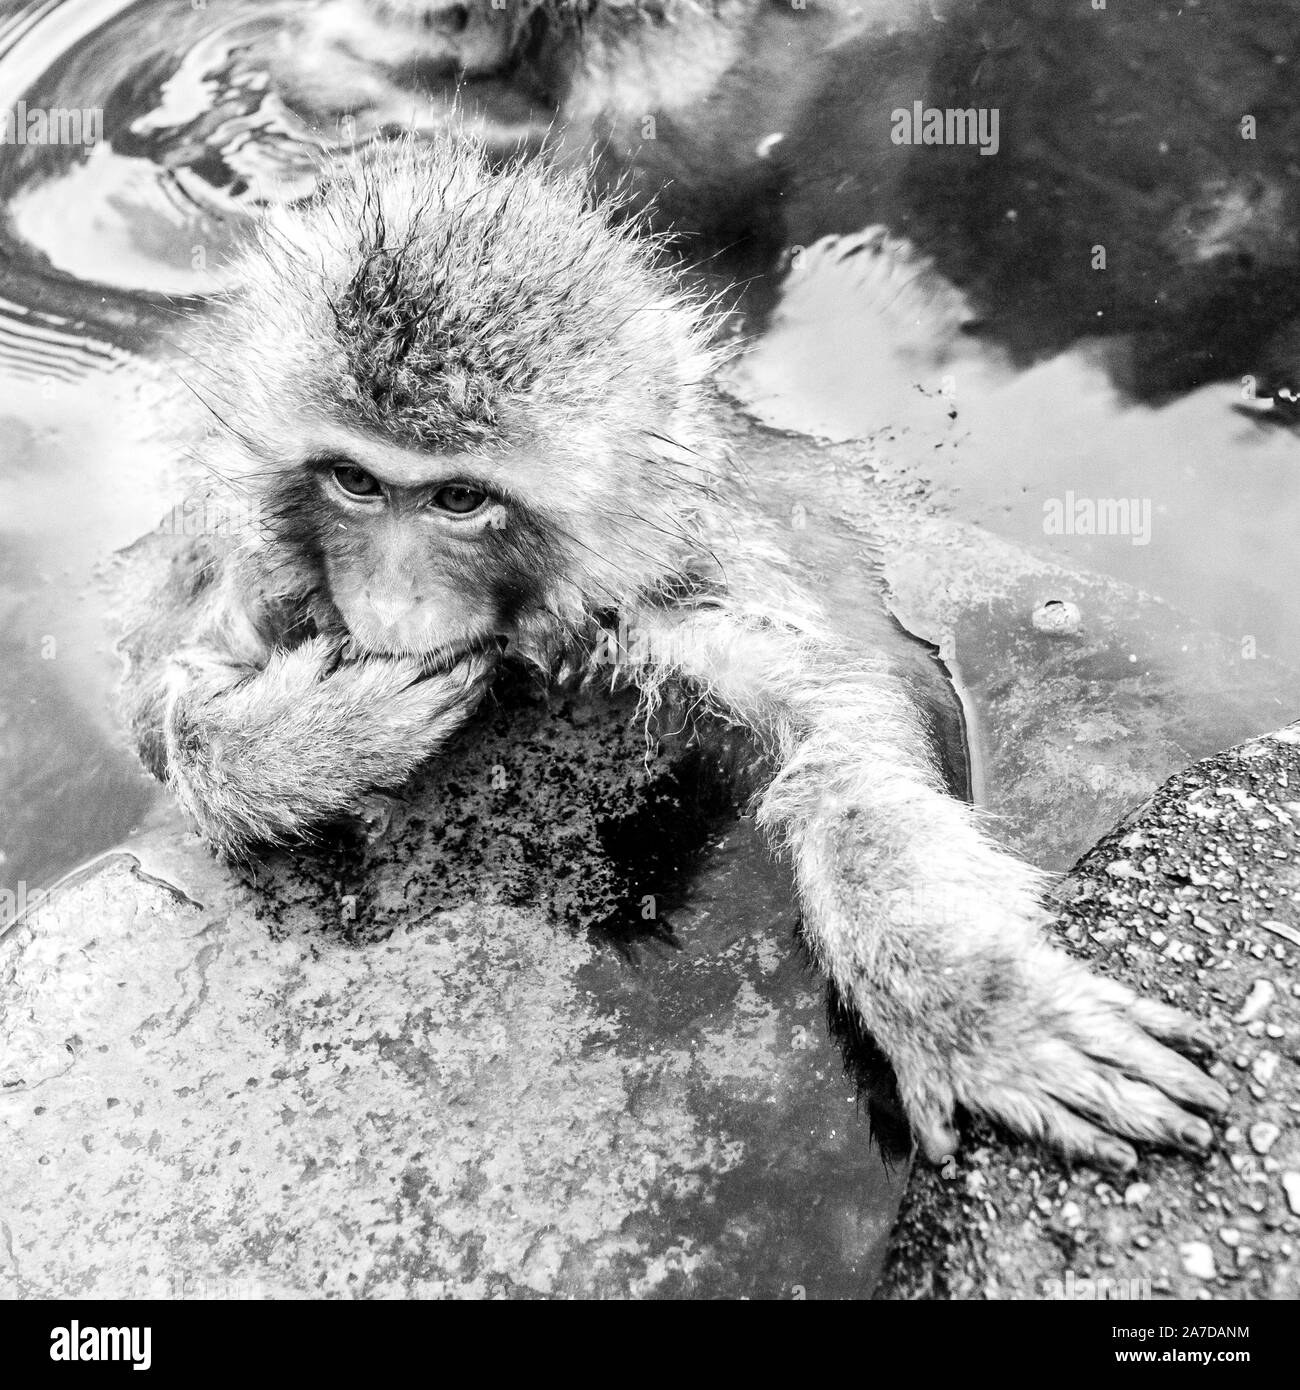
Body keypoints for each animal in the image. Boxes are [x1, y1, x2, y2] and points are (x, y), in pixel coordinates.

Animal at [114, 135, 1229, 1173]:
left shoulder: (684, 597)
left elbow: (854, 731)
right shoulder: (248, 557)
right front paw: (310, 742)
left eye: (459, 498)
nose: (386, 603)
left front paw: (964, 999)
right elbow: (156, 703)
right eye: (354, 480)